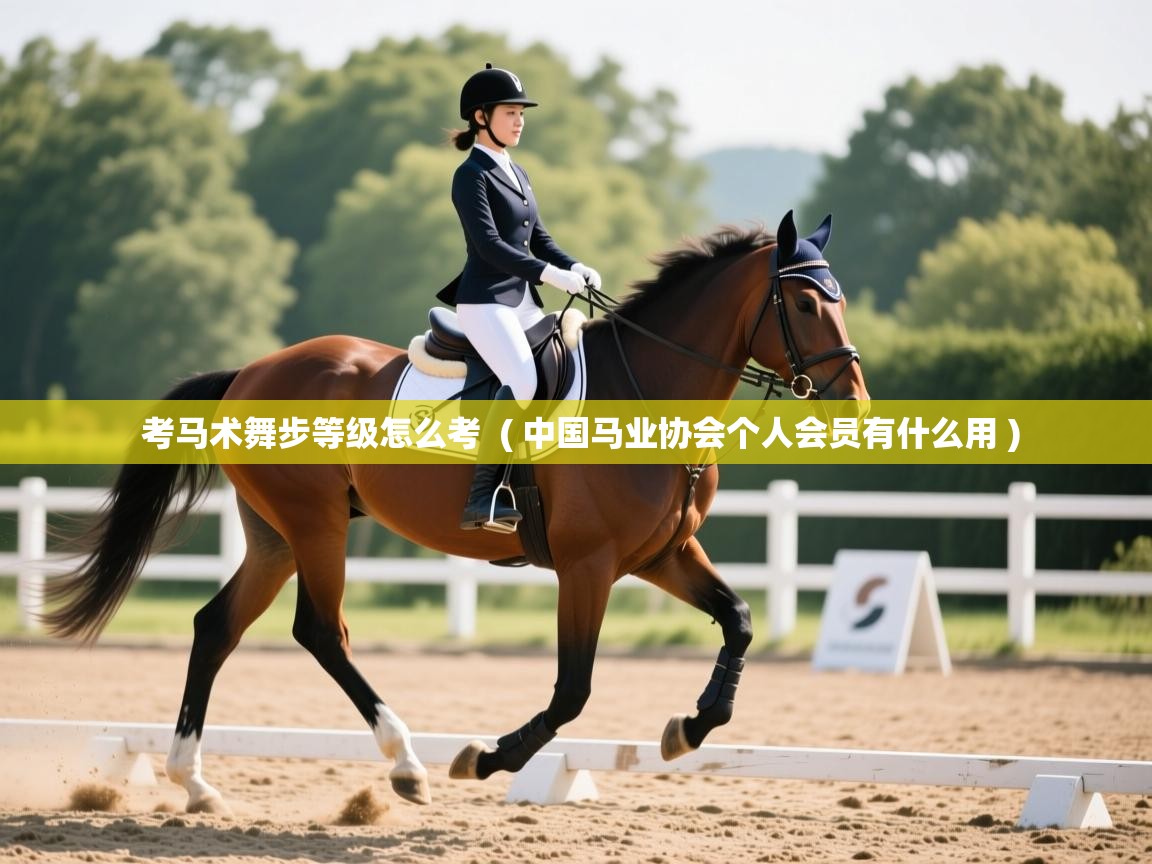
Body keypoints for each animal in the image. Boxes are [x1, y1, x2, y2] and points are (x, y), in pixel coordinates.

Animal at [43, 210, 868, 813]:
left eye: (840, 299)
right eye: (803, 302)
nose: (855, 402)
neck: (647, 389)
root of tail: (252, 370)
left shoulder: (663, 555)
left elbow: (740, 621)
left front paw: (687, 728)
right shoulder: (588, 564)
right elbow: (573, 689)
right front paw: (489, 757)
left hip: (276, 533)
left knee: (217, 626)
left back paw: (196, 782)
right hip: (313, 524)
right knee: (321, 631)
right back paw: (406, 765)